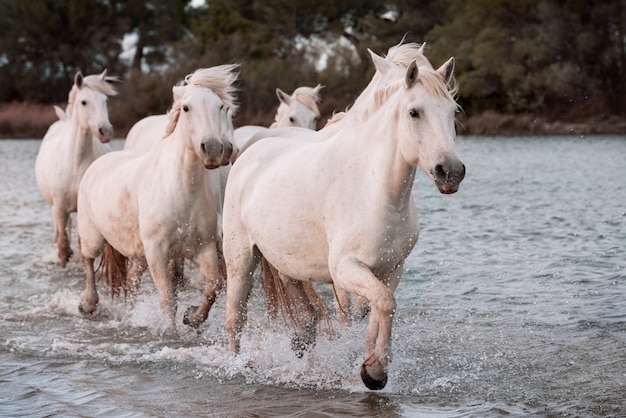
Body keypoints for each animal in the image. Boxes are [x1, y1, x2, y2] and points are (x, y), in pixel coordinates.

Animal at [35, 68, 119, 264]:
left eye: (105, 100)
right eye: (84, 102)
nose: (105, 131)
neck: (75, 165)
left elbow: (82, 246)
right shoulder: (59, 209)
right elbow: (63, 247)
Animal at [75, 64, 236, 334]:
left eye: (220, 106)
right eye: (186, 108)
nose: (213, 149)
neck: (181, 190)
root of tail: (95, 165)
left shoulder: (202, 248)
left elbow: (213, 286)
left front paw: (192, 317)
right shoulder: (158, 253)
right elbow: (168, 299)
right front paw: (171, 333)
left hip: (139, 252)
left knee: (131, 279)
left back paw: (130, 316)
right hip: (94, 237)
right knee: (87, 261)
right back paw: (88, 304)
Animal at [221, 47, 464, 390]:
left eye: (453, 111)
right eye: (414, 112)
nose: (451, 172)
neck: (374, 190)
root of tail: (250, 151)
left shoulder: (391, 269)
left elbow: (380, 309)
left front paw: (370, 367)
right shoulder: (345, 269)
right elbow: (383, 304)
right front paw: (375, 373)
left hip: (283, 259)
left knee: (300, 306)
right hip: (240, 258)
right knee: (235, 319)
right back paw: (237, 365)